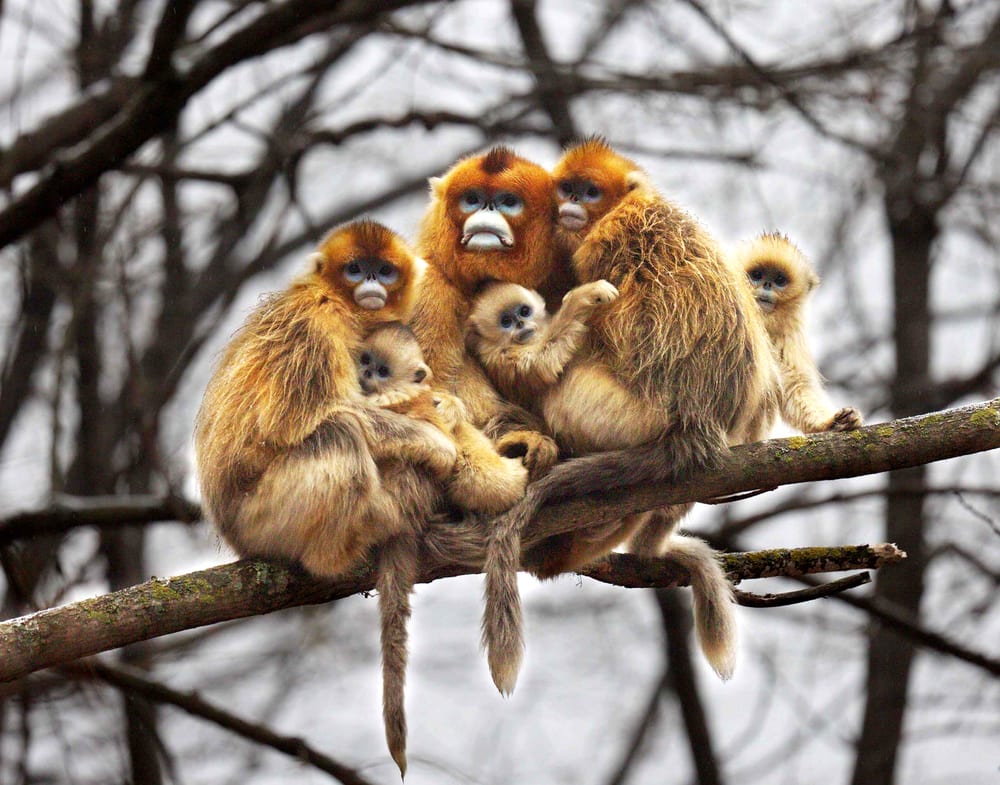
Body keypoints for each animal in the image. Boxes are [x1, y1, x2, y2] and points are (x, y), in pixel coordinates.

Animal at [194, 219, 453, 777]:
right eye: (355, 269)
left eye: (384, 270)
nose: (370, 283)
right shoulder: (315, 324)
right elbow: (307, 417)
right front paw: (437, 442)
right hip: (263, 518)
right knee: (338, 434)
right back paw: (353, 541)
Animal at [465, 279, 619, 412]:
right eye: (506, 321)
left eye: (524, 311)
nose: (520, 324)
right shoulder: (502, 357)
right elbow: (544, 360)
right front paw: (586, 293)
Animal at [733, 232, 863, 435]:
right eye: (756, 275)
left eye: (779, 280)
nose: (767, 284)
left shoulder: (788, 333)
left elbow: (795, 386)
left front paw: (831, 422)